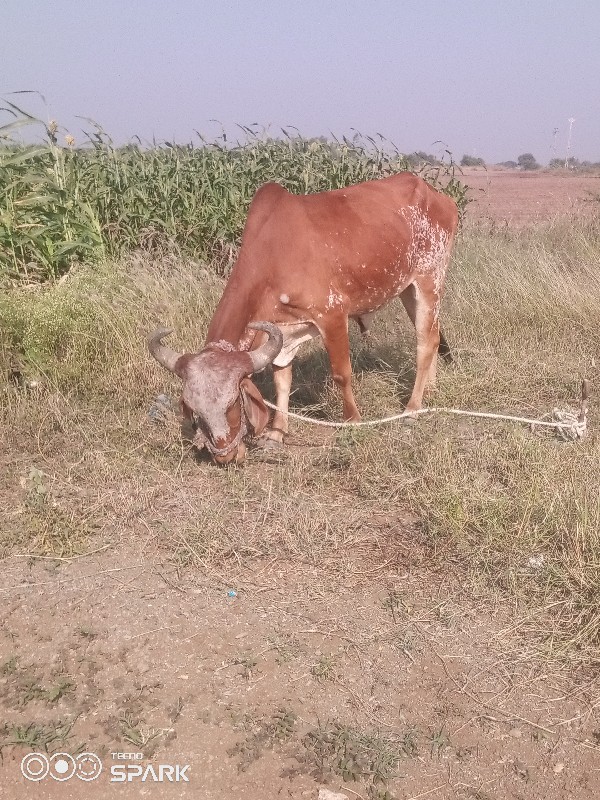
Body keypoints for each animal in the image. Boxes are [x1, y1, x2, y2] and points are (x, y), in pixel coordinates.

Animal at [150, 172, 460, 466]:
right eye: (194, 410)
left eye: (231, 403)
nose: (224, 456)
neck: (274, 255)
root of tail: (437, 195)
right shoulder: (283, 332)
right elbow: (282, 381)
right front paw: (276, 434)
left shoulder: (332, 315)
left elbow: (342, 374)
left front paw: (353, 422)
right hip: (408, 290)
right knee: (432, 335)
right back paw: (430, 389)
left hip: (429, 280)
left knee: (425, 342)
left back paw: (412, 410)